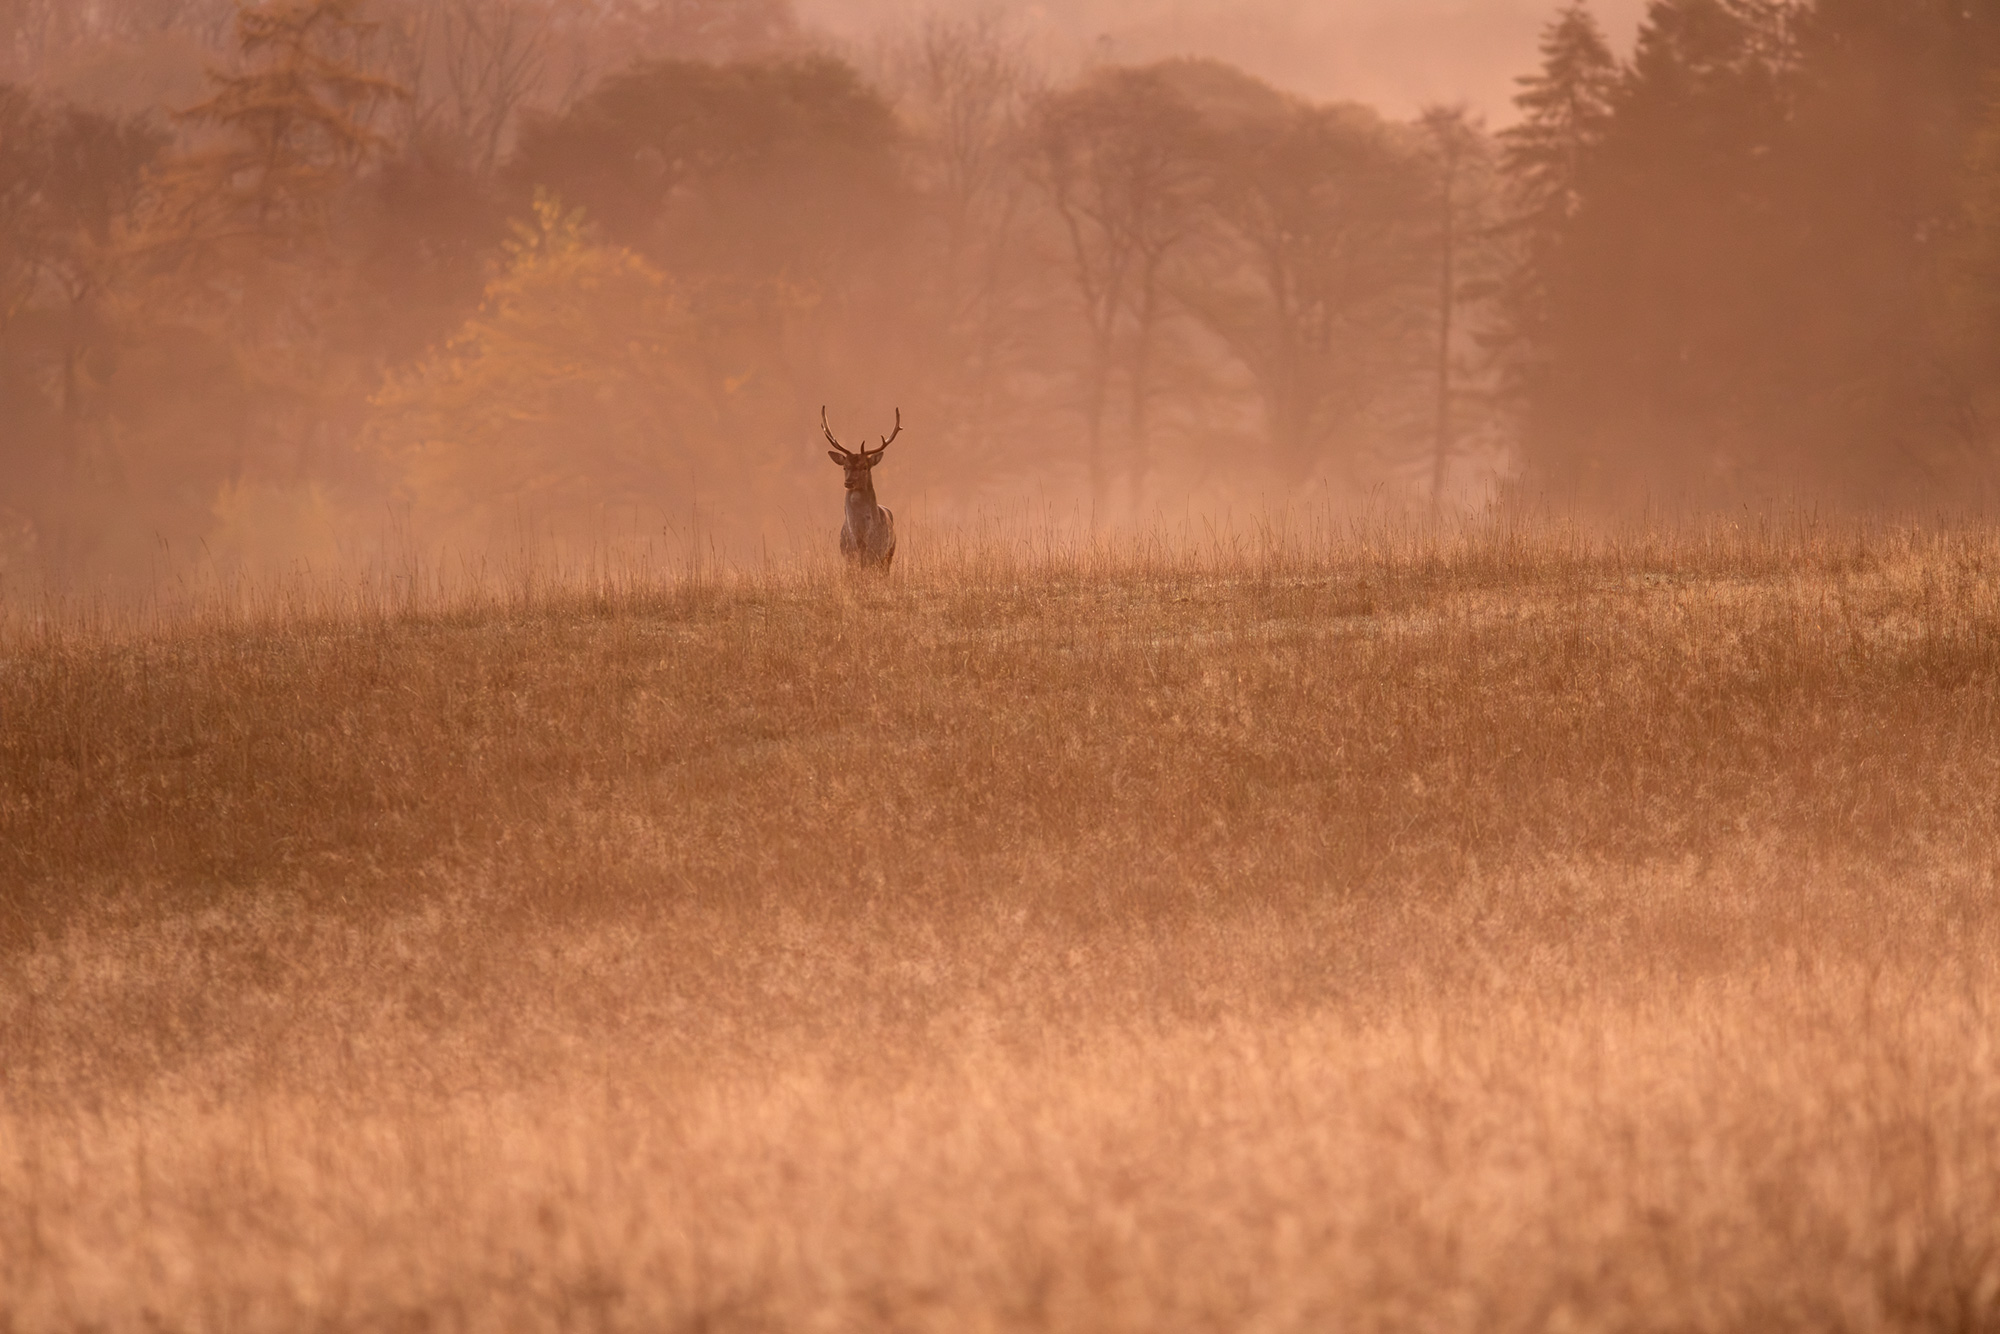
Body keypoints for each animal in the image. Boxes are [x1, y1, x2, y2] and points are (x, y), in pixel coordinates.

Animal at [823, 405, 900, 571]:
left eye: (865, 466)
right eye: (845, 467)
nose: (849, 482)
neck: (859, 537)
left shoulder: (876, 553)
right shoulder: (848, 556)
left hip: (889, 553)